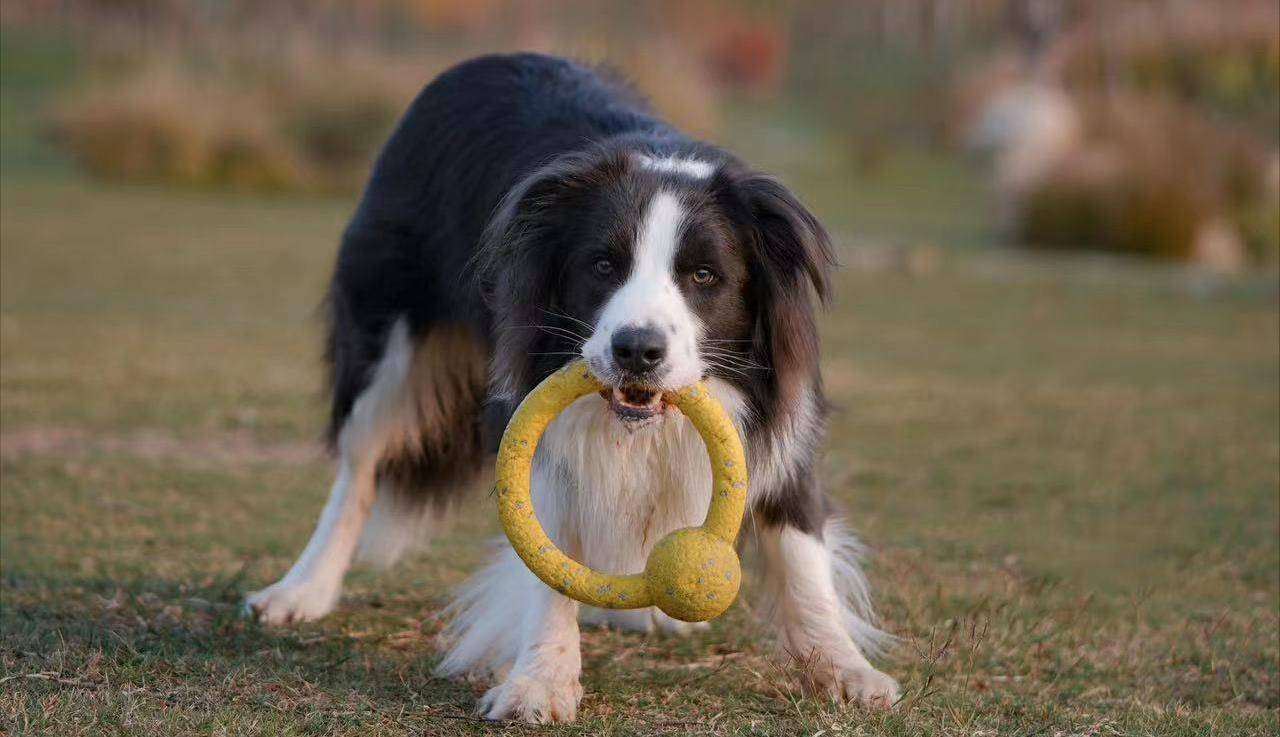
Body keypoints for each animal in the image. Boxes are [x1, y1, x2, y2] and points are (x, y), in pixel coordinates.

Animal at [241, 54, 901, 721]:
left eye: (704, 275)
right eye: (602, 265)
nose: (636, 351)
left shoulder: (778, 406)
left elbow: (799, 541)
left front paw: (851, 673)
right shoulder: (531, 409)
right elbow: (547, 549)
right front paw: (540, 685)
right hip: (390, 325)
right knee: (361, 462)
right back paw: (299, 591)